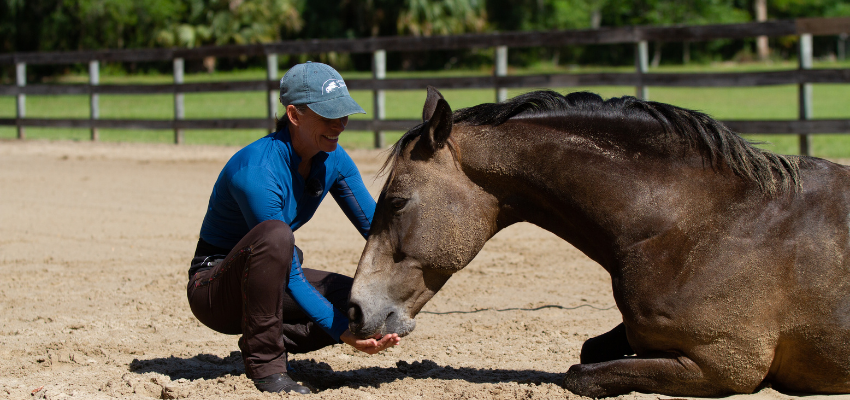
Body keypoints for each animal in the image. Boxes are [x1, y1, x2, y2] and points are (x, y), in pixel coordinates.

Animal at [344, 86, 848, 396]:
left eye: (397, 202)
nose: (356, 310)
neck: (696, 225)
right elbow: (590, 351)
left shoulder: (726, 364)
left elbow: (579, 375)